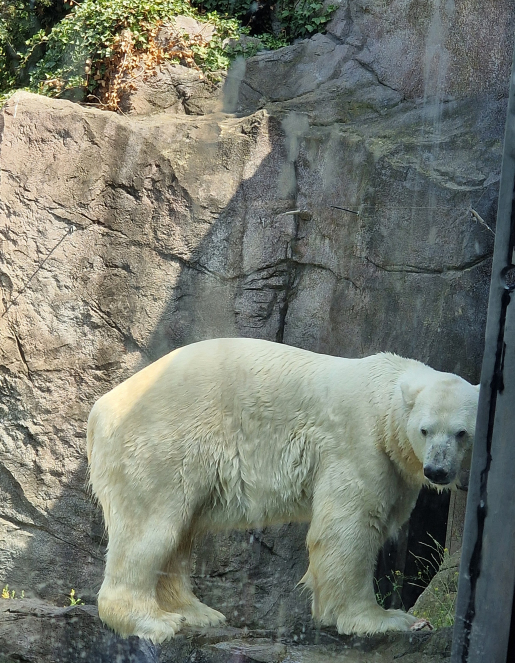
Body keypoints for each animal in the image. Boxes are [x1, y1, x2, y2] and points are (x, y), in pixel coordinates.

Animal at [87, 338, 480, 644]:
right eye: (426, 429)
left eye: (461, 432)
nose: (438, 471)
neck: (383, 397)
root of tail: (101, 409)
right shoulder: (357, 443)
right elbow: (349, 526)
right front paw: (384, 618)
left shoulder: (394, 466)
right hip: (162, 443)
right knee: (150, 526)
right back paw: (152, 621)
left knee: (180, 532)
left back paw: (198, 612)